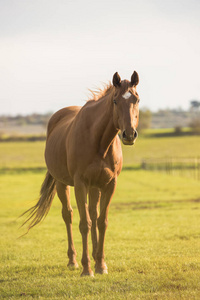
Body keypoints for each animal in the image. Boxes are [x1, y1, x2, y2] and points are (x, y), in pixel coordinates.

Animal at [22, 71, 140, 276]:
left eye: (137, 99)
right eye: (115, 100)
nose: (129, 134)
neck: (99, 140)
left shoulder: (109, 184)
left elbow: (101, 222)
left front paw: (101, 265)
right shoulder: (80, 184)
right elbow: (84, 224)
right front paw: (87, 269)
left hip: (94, 187)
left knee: (92, 213)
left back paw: (95, 257)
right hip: (62, 184)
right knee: (68, 216)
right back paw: (73, 261)